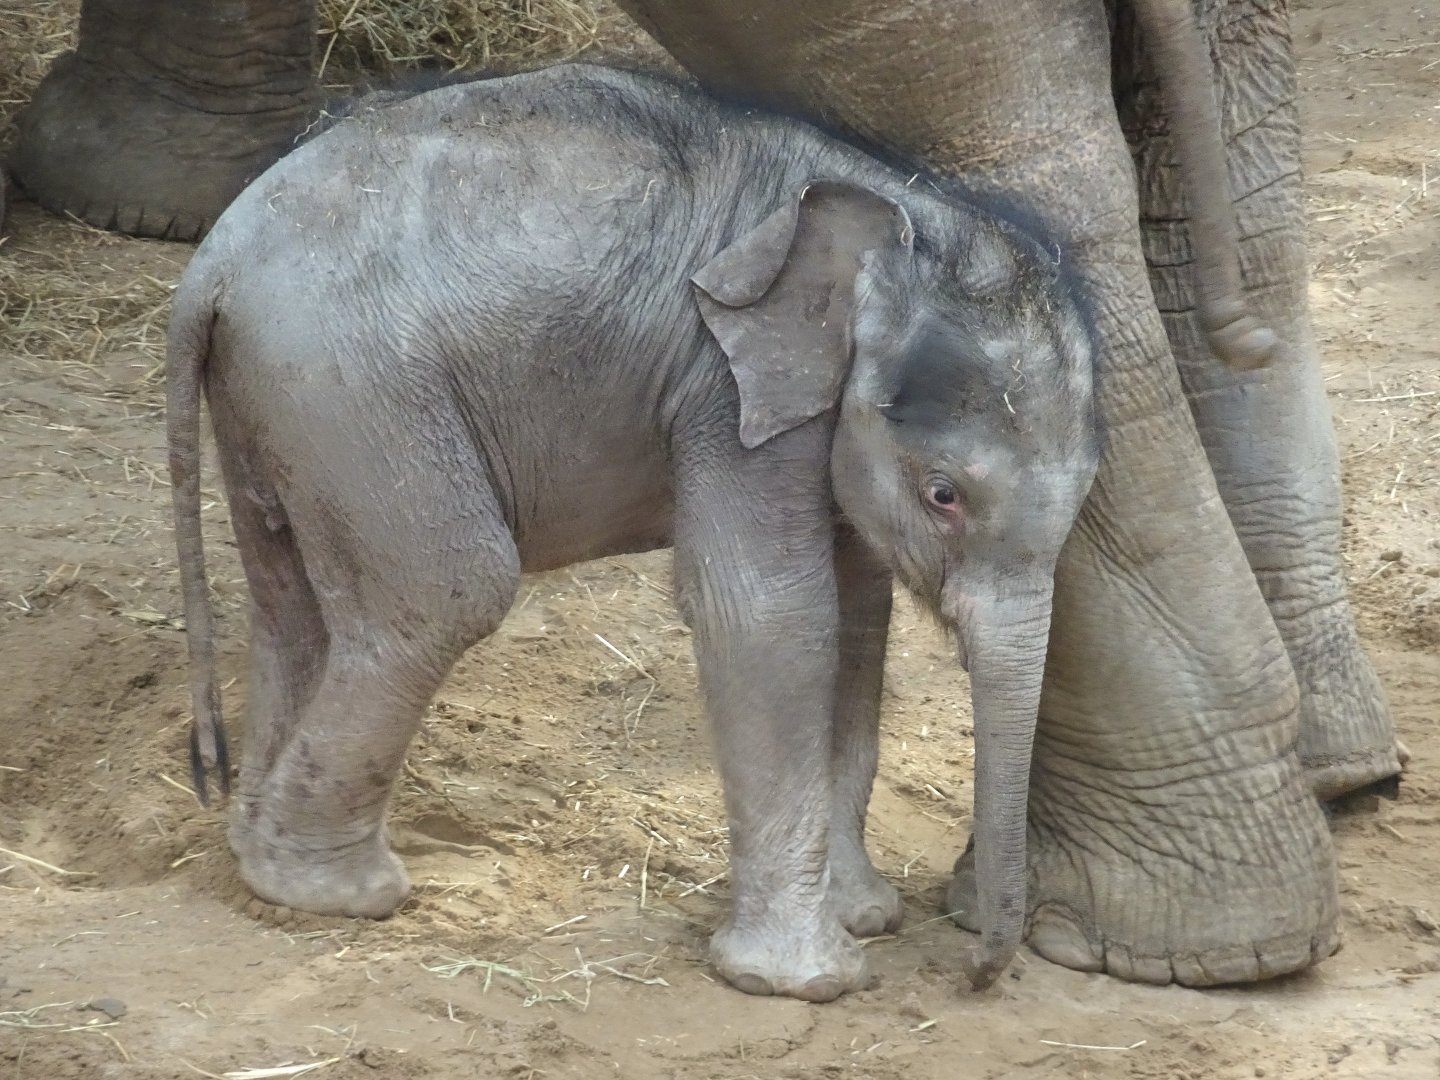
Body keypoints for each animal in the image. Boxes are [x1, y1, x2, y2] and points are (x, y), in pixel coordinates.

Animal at [167, 64, 1102, 999]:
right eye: (945, 495)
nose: (976, 970)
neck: (899, 216)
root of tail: (215, 256)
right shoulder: (725, 390)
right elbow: (769, 614)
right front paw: (807, 980)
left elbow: (859, 621)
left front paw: (863, 917)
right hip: (350, 387)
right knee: (446, 593)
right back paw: (336, 892)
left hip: (279, 400)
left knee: (291, 603)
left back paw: (259, 853)